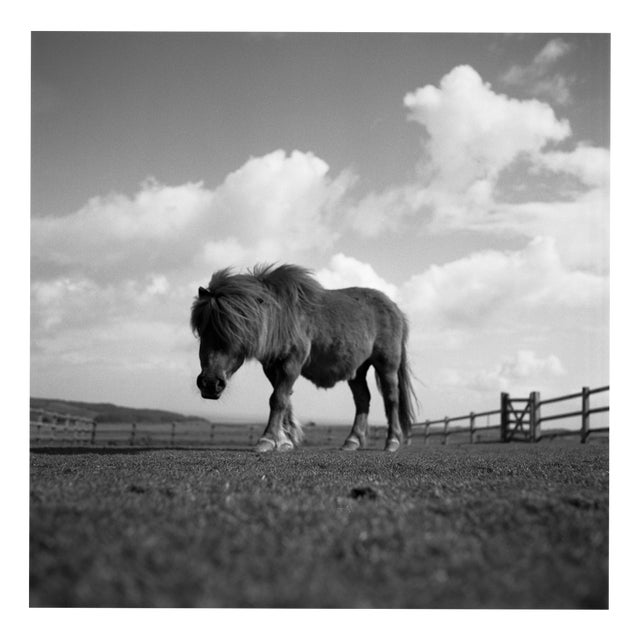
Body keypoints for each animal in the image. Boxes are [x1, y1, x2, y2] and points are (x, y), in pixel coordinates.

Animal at [190, 264, 417, 452]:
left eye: (237, 333)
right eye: (202, 330)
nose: (210, 383)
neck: (281, 317)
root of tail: (395, 309)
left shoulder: (292, 363)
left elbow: (278, 399)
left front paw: (267, 439)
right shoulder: (272, 367)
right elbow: (283, 399)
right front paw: (284, 441)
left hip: (387, 365)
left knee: (391, 399)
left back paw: (392, 442)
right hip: (357, 370)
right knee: (363, 400)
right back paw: (352, 441)